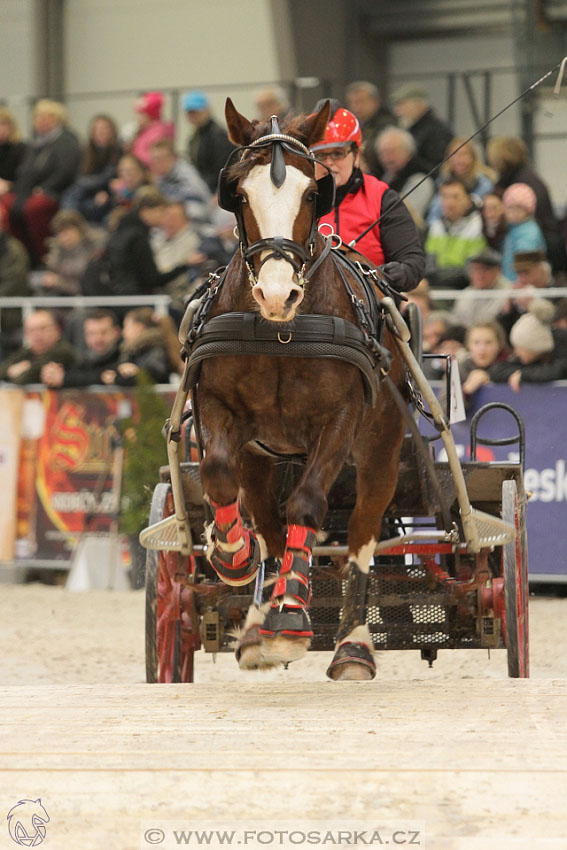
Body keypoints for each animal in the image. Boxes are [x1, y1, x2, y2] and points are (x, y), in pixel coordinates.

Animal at [192, 99, 408, 680]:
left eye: (312, 194)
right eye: (239, 194)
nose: (275, 293)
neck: (283, 333)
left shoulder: (339, 421)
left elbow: (308, 506)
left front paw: (290, 615)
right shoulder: (222, 413)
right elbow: (218, 477)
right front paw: (231, 556)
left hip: (381, 452)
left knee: (361, 535)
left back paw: (351, 642)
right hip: (262, 457)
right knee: (268, 525)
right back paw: (255, 616)